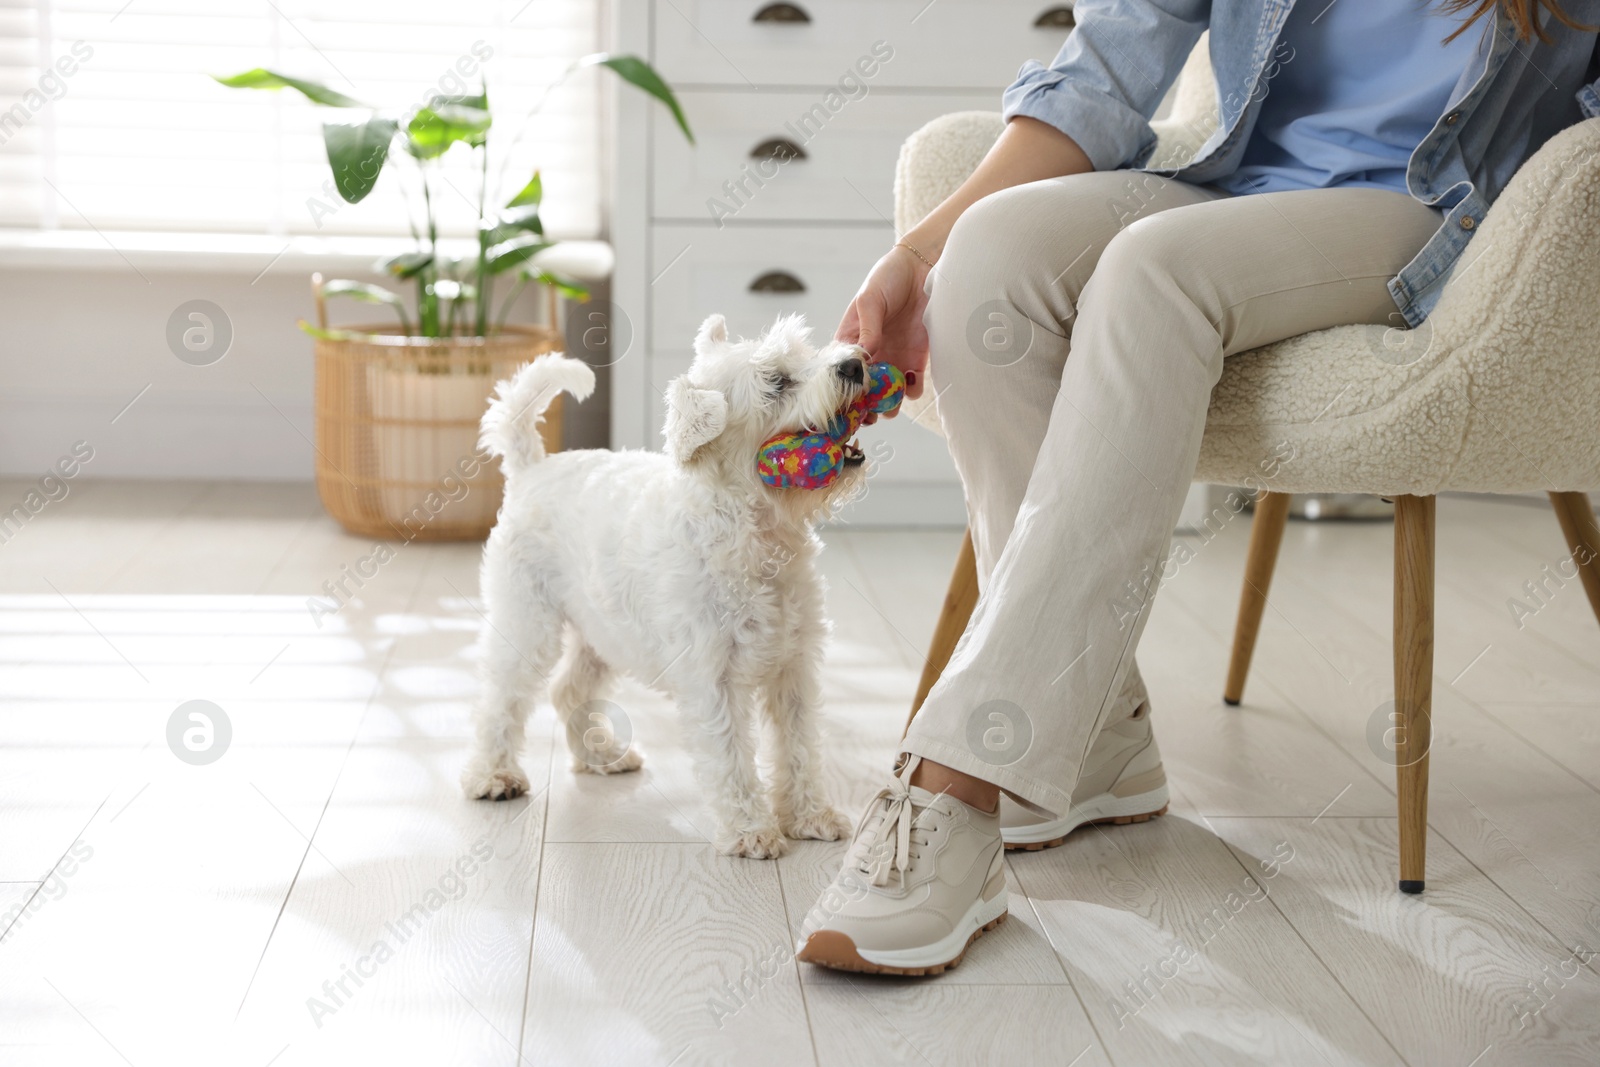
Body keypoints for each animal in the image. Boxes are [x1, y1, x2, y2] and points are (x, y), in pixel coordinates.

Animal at [464, 315, 870, 857]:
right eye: (775, 381)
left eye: (806, 352)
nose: (854, 365)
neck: (750, 534)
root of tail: (532, 467)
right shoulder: (712, 679)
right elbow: (730, 756)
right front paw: (750, 830)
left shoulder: (794, 667)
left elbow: (800, 746)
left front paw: (810, 816)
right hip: (528, 622)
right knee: (501, 699)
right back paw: (493, 777)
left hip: (601, 633)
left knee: (569, 690)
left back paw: (604, 756)